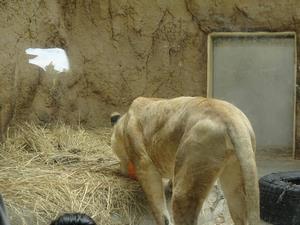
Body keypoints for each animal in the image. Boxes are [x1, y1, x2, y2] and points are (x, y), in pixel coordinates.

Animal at [110, 96, 260, 225]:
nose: (120, 168)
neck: (124, 121)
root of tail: (231, 118)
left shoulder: (144, 163)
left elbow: (157, 205)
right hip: (236, 178)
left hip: (187, 184)